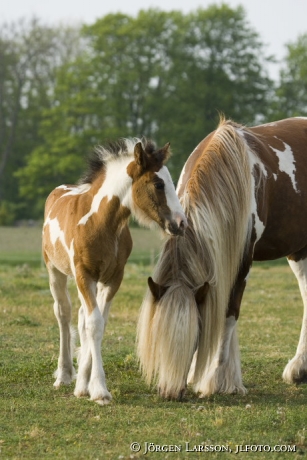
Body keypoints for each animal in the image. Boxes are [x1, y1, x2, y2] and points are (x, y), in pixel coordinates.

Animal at [42, 138, 188, 404]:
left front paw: (86, 386)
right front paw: (99, 390)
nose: (181, 223)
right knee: (64, 313)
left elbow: (98, 323)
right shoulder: (84, 275)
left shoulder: (112, 279)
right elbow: (94, 324)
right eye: (158, 183)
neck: (100, 223)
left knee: (81, 317)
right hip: (55, 270)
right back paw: (64, 375)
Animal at [138, 117, 307, 398]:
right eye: (159, 332)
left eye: (194, 339)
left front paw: (215, 379)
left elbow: (228, 314)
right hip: (299, 251)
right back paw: (300, 368)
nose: (170, 393)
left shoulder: (242, 261)